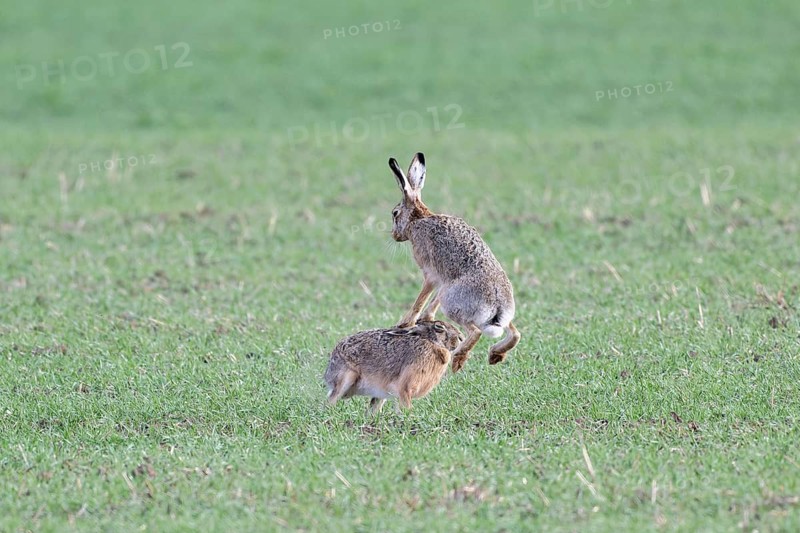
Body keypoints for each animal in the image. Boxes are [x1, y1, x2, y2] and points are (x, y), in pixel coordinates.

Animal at [325, 320, 462, 414]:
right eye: (439, 327)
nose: (461, 338)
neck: (431, 343)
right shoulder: (405, 387)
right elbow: (406, 405)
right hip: (346, 378)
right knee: (332, 398)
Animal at [387, 152, 521, 372]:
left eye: (395, 213)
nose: (394, 236)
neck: (418, 219)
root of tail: (497, 306)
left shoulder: (431, 274)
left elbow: (422, 299)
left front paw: (405, 323)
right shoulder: (443, 281)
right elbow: (433, 299)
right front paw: (426, 319)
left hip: (453, 306)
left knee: (475, 332)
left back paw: (458, 359)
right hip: (485, 313)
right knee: (515, 333)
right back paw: (495, 355)